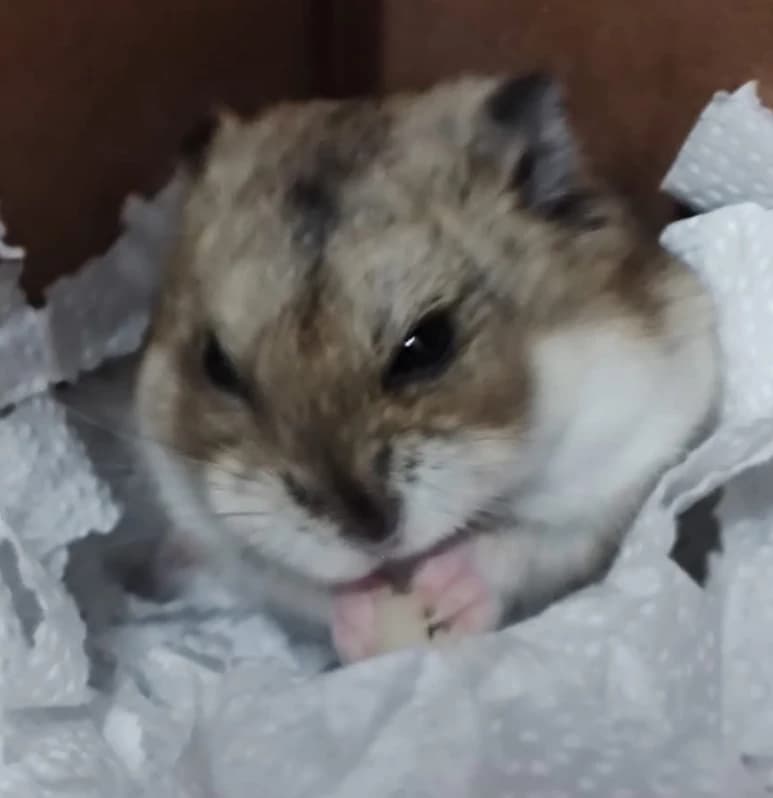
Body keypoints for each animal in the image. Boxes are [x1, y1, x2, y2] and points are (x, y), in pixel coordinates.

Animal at [134, 73, 719, 664]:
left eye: (429, 344)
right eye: (216, 366)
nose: (371, 536)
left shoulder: (628, 461)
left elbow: (528, 540)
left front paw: (449, 592)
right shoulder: (220, 539)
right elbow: (297, 584)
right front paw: (364, 619)